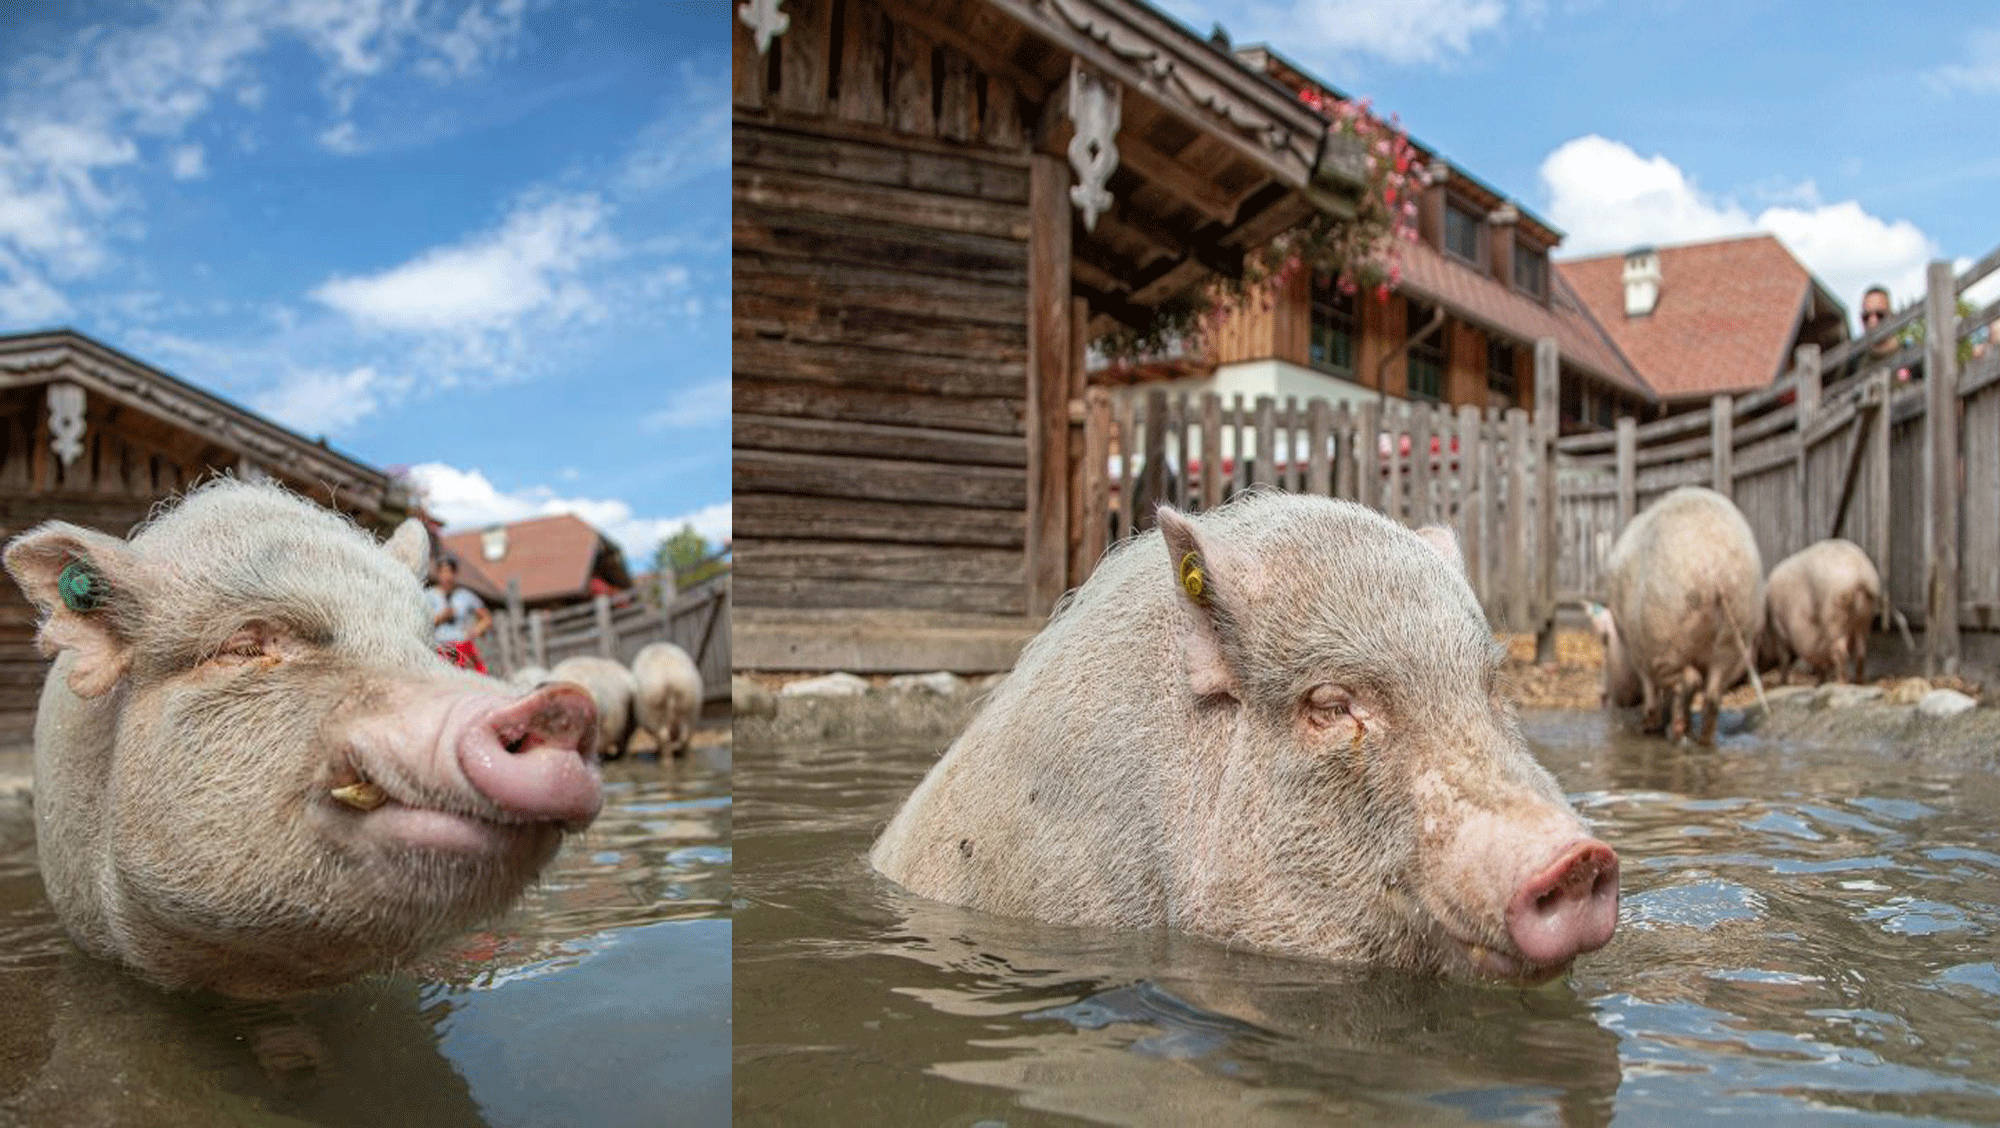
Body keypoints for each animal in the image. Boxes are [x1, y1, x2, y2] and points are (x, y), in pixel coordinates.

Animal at [1599, 486, 1763, 744]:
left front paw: (1648, 725)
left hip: (1667, 629)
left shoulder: (1639, 652)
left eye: (1605, 648)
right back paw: (1703, 740)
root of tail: (1719, 573)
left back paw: (1675, 733)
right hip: (1738, 628)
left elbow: (1650, 689)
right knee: (1712, 695)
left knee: (1689, 681)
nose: (1603, 695)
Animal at [1764, 539, 1880, 685]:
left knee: (1840, 650)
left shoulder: (1779, 628)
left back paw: (1841, 682)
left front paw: (1782, 683)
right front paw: (1820, 681)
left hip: (1836, 614)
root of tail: (1861, 574)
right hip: (1865, 615)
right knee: (1861, 651)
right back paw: (1859, 682)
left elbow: (1784, 657)